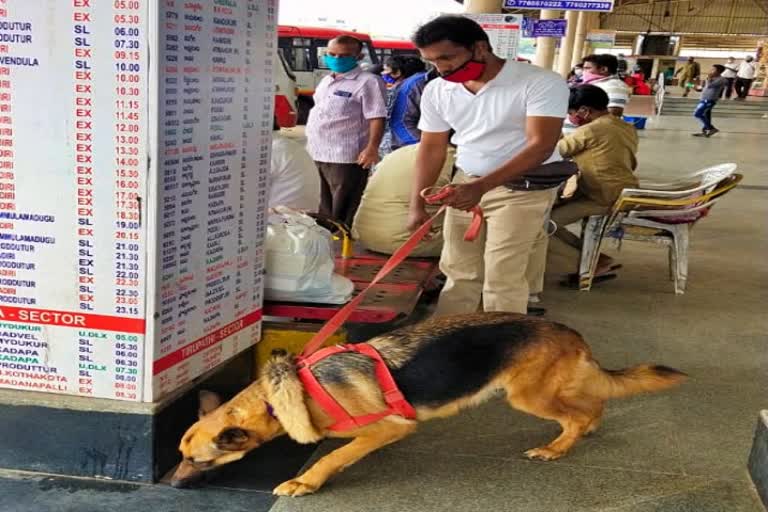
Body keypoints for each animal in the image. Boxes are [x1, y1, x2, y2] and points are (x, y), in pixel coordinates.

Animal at [171, 312, 688, 496]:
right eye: (179, 457)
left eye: (200, 461)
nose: (173, 485)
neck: (282, 398)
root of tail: (565, 329)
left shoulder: (390, 427)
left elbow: (335, 455)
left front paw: (305, 481)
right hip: (546, 389)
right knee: (591, 404)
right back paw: (584, 429)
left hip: (528, 396)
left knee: (575, 415)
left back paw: (557, 449)